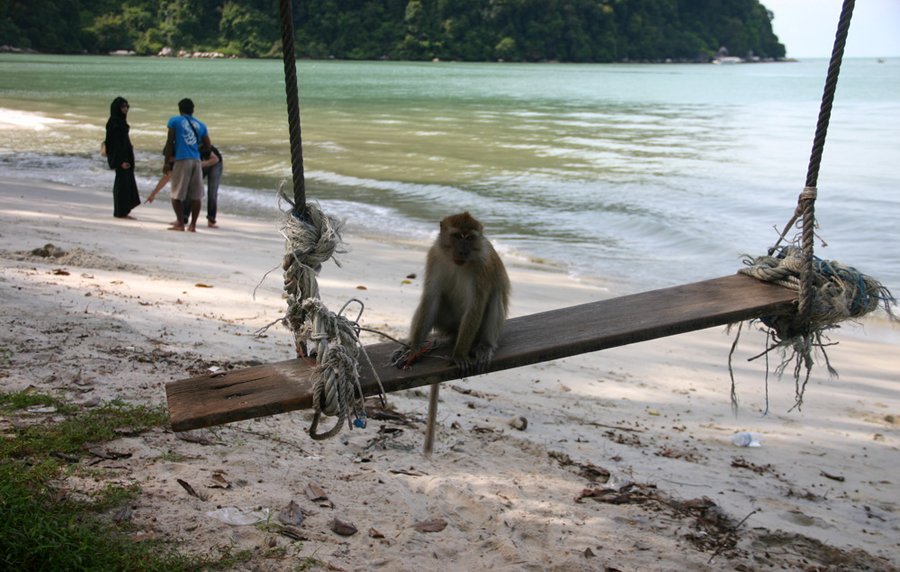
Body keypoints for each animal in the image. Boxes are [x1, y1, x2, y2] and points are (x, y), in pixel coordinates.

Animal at [393, 211, 510, 454]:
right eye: (457, 236)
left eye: (470, 238)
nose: (463, 250)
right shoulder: (435, 256)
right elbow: (431, 298)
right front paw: (414, 348)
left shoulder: (482, 266)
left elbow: (476, 305)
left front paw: (459, 356)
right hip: (448, 324)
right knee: (436, 300)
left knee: (494, 297)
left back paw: (483, 345)